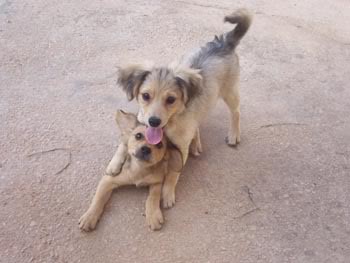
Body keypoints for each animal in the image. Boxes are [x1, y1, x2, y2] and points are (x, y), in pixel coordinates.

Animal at [117, 9, 252, 209]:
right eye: (145, 96)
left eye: (171, 99)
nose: (154, 121)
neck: (168, 125)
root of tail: (224, 42)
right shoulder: (141, 121)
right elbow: (123, 143)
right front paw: (113, 166)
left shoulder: (180, 148)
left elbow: (173, 173)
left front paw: (167, 194)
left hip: (230, 91)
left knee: (236, 112)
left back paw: (233, 135)